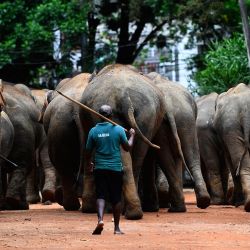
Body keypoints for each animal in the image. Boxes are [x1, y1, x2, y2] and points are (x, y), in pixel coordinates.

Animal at [0, 81, 43, 209]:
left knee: (20, 164)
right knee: (23, 165)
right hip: (21, 125)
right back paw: (19, 204)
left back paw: (12, 203)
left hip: (19, 125)